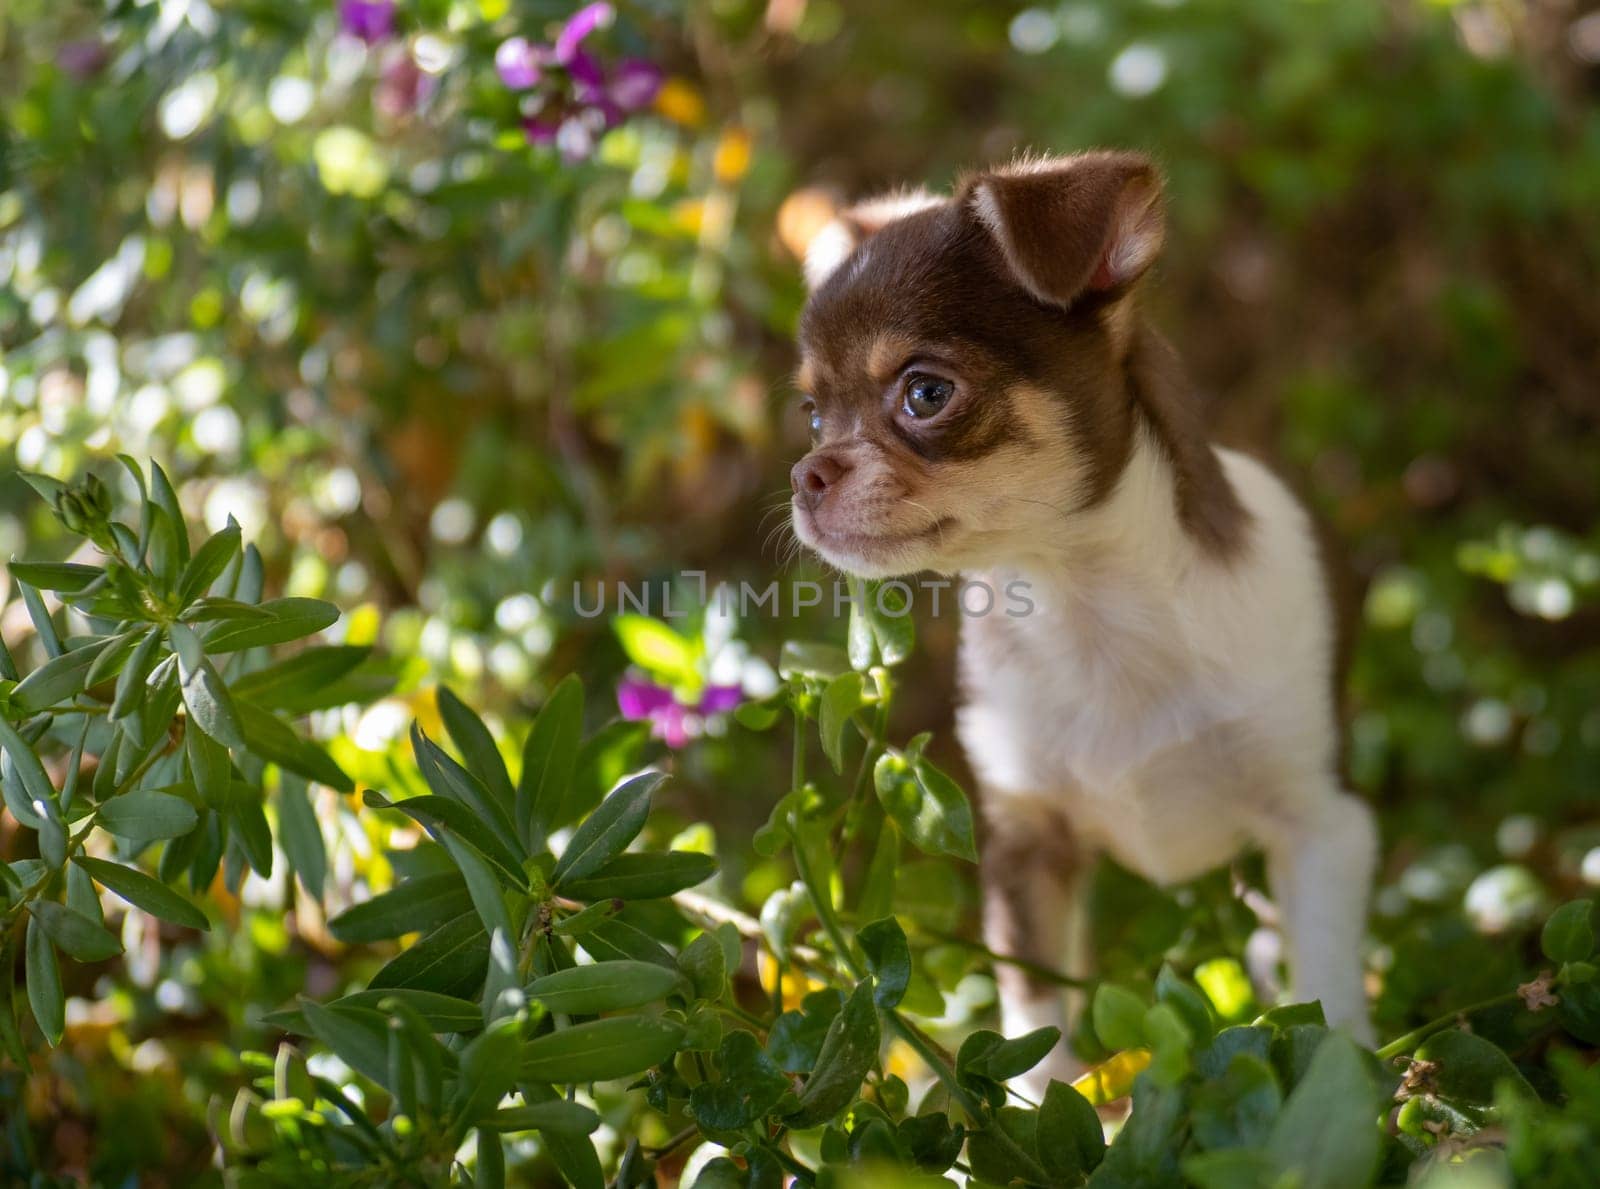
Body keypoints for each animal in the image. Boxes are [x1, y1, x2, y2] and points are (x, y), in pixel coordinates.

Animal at [787, 148, 1376, 1088]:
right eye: (812, 415)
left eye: (925, 393)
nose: (806, 474)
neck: (1085, 605)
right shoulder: (1030, 847)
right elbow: (1037, 1016)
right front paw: (1037, 1103)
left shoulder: (1321, 825)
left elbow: (1326, 989)